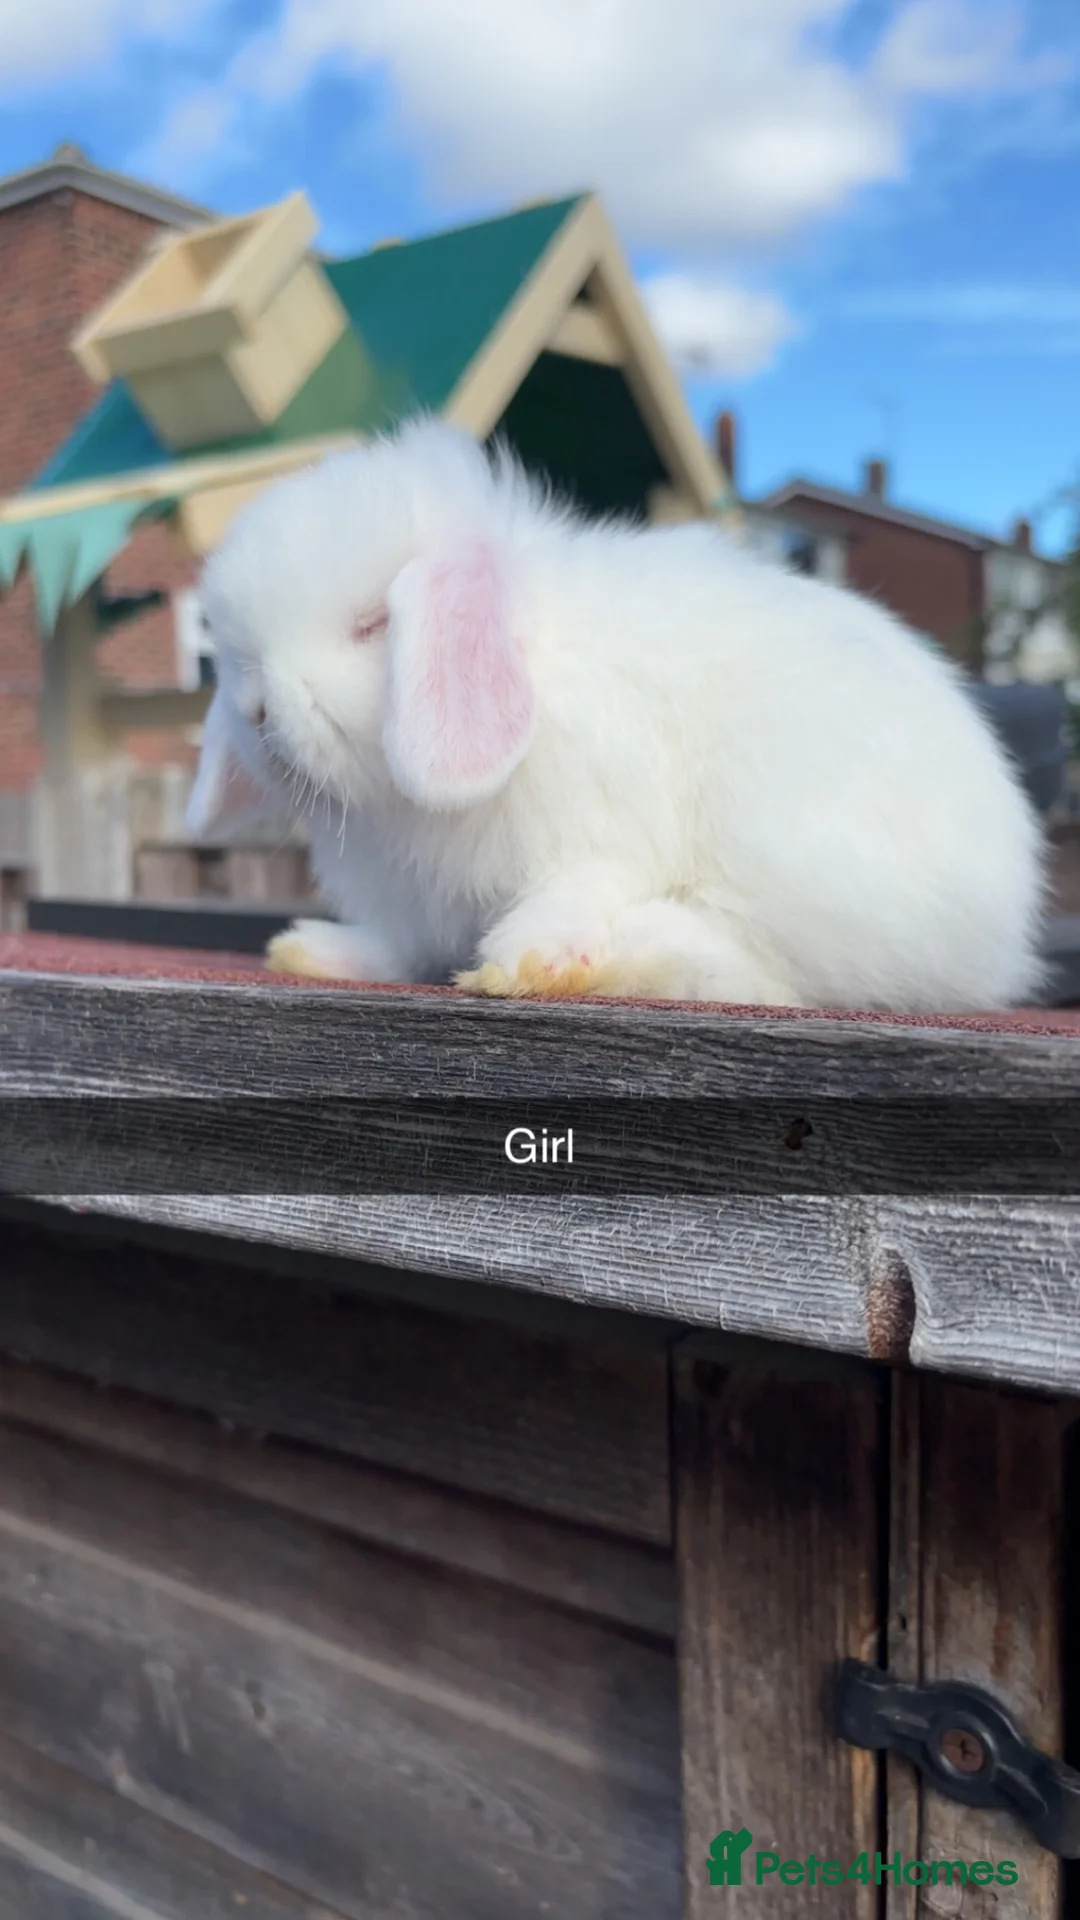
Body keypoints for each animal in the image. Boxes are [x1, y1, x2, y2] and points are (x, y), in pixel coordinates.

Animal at [185, 415, 1047, 1012]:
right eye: (235, 652)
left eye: (372, 624)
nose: (255, 710)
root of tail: (1003, 934)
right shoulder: (413, 903)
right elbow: (399, 947)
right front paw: (315, 953)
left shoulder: (596, 840)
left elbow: (571, 895)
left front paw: (520, 964)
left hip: (804, 857)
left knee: (768, 971)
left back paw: (629, 956)